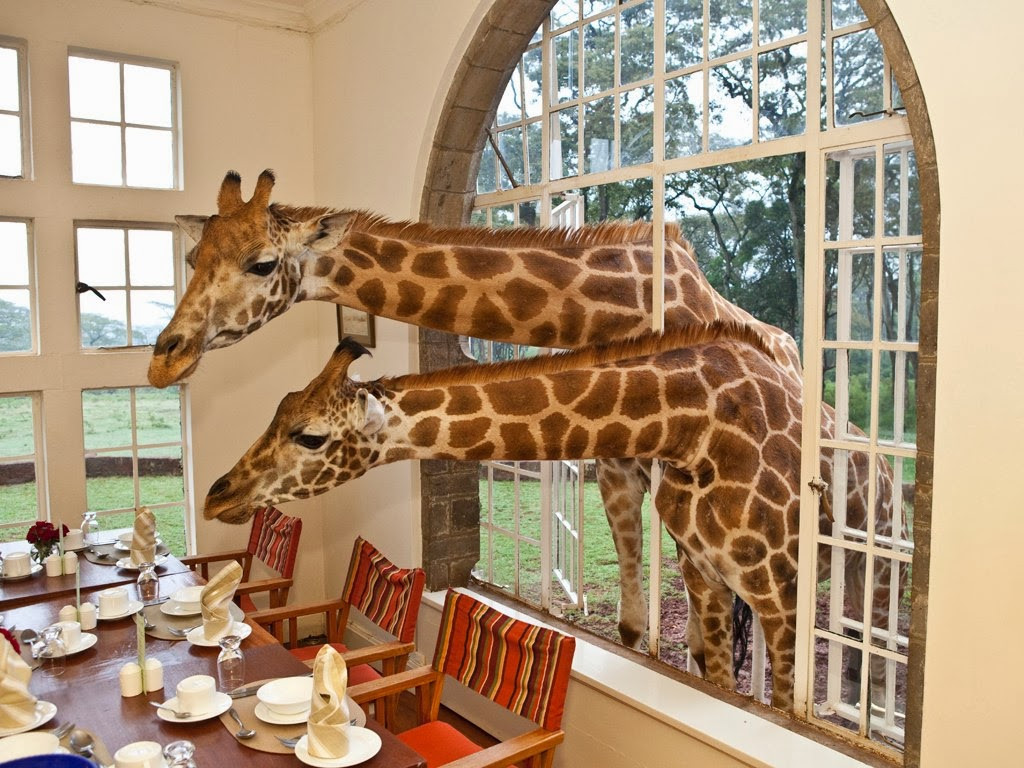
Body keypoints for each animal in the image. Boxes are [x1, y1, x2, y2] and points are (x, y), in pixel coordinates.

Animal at [204, 324, 840, 712]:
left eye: (310, 435)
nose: (216, 495)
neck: (692, 422)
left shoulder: (782, 593)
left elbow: (780, 697)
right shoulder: (707, 574)